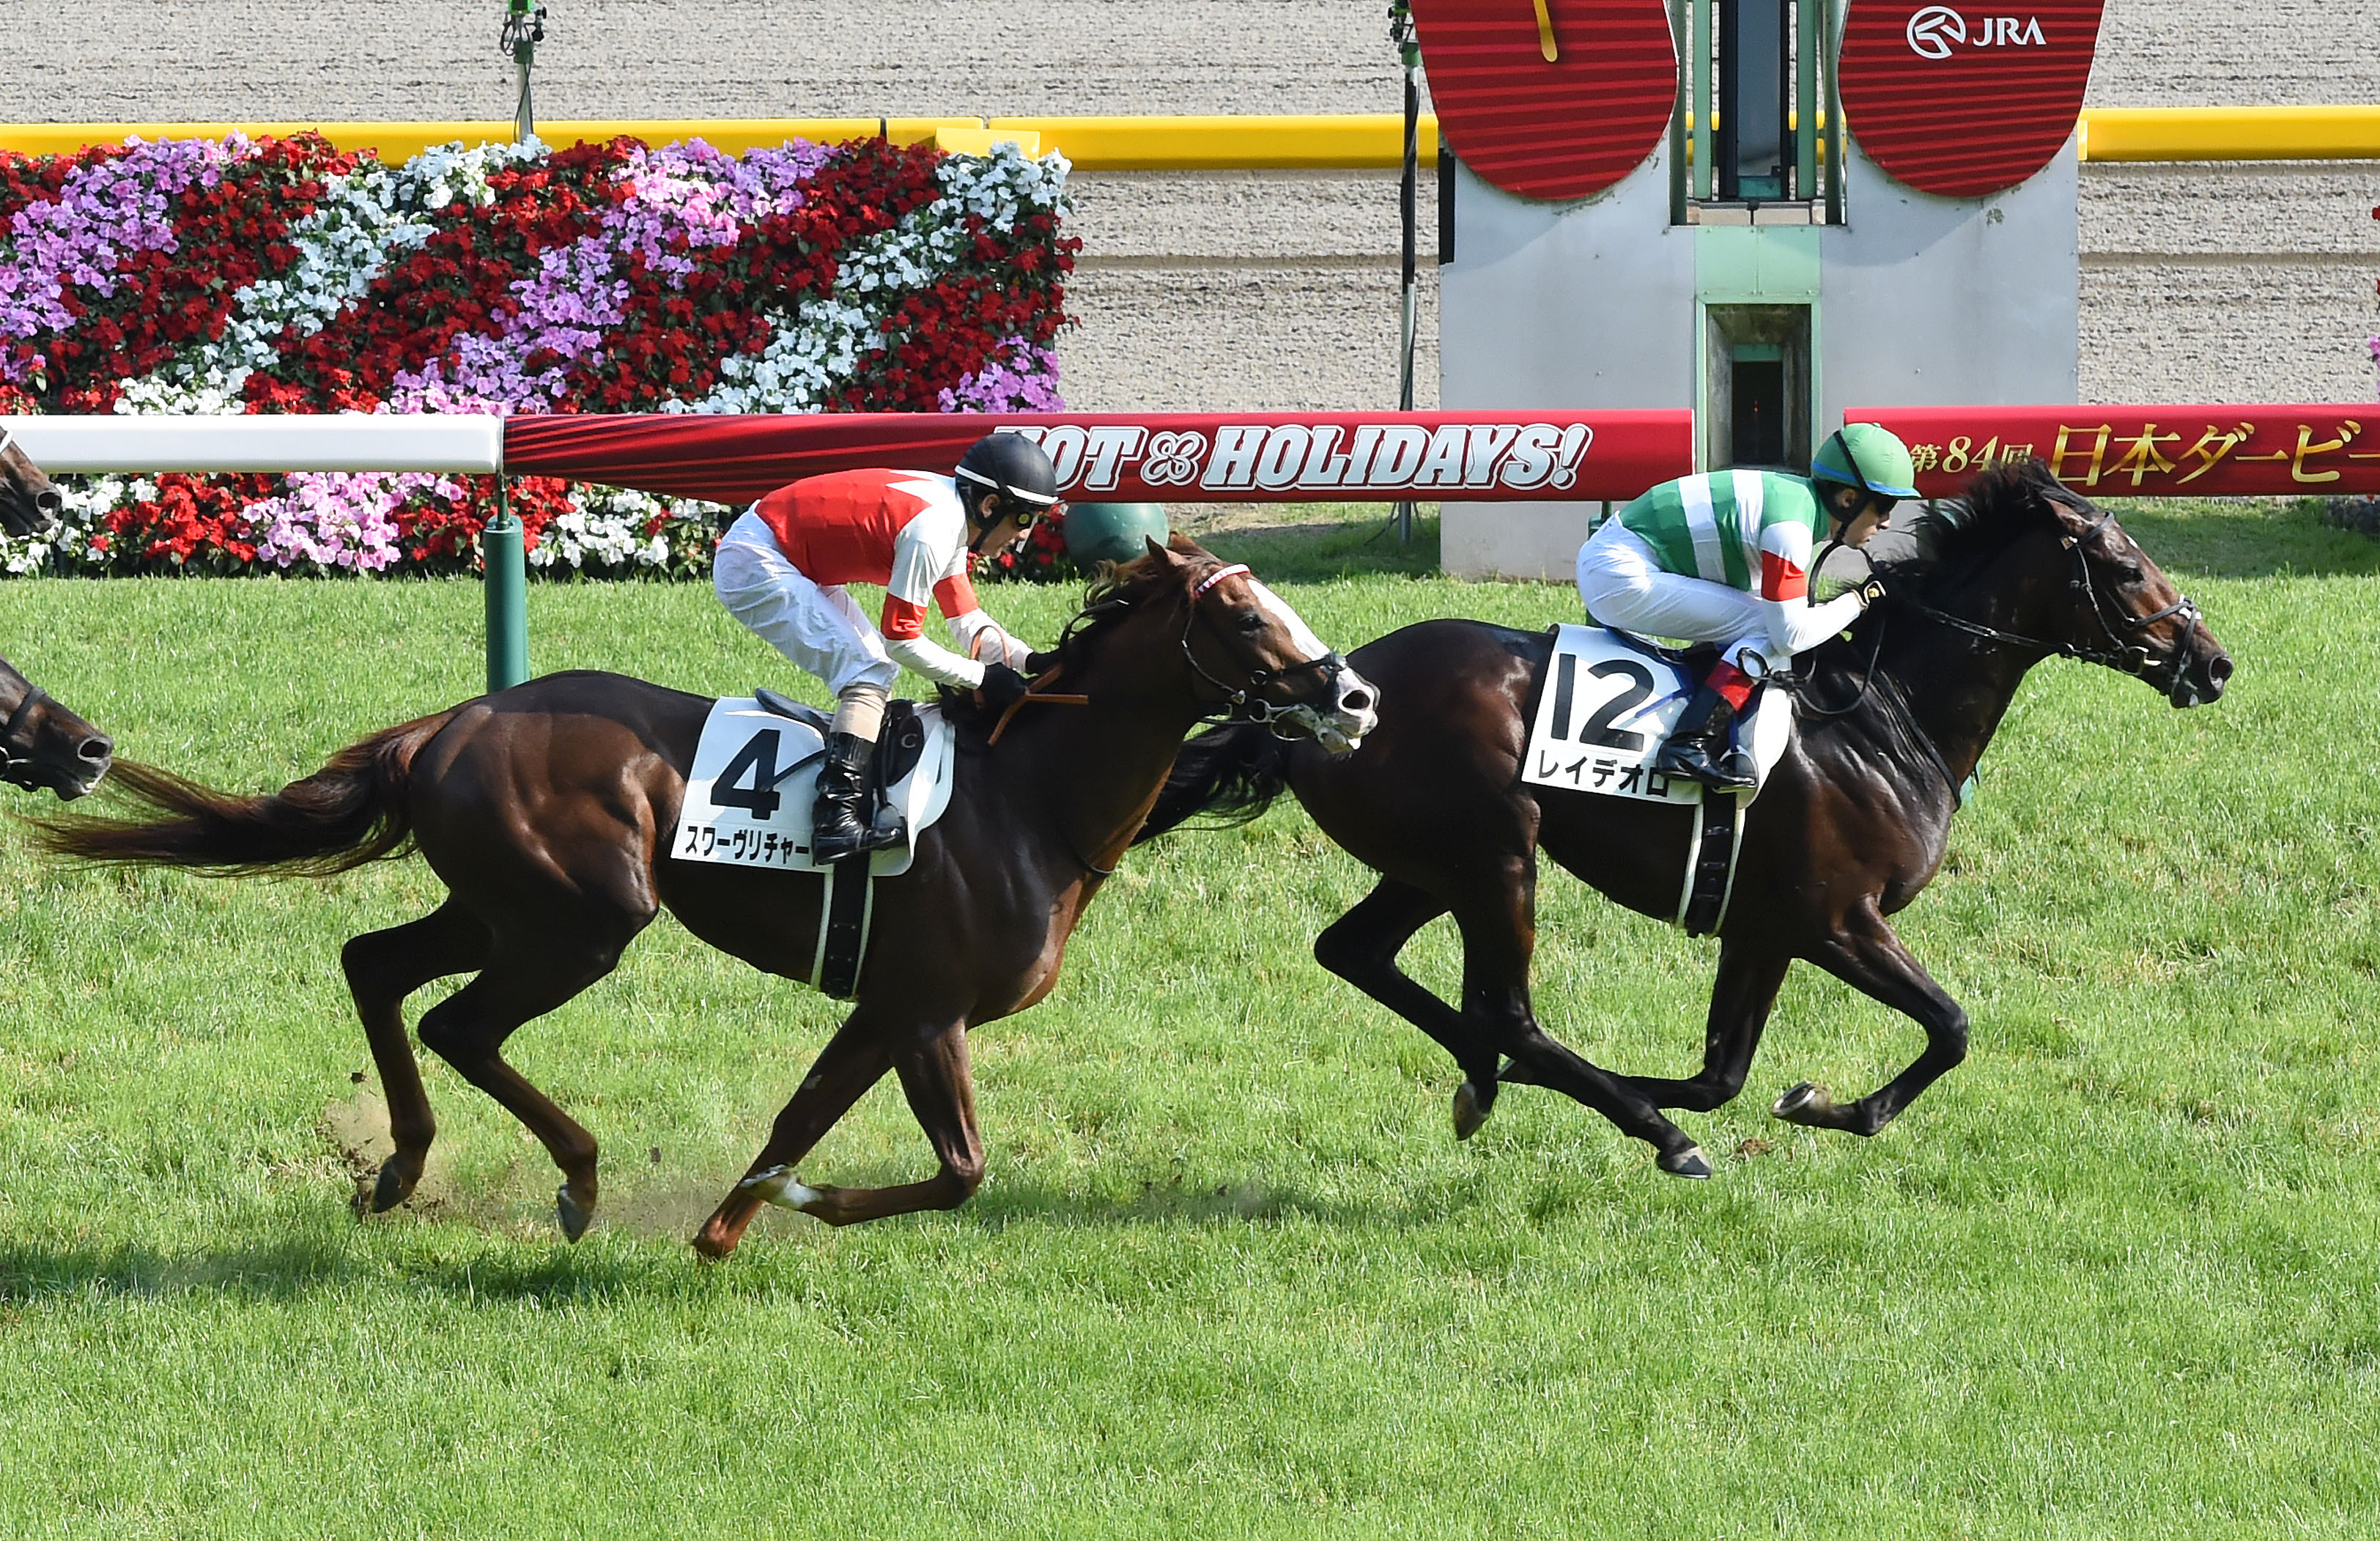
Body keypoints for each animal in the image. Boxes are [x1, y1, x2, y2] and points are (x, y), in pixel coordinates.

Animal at [35, 537, 1377, 1254]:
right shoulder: (929, 1009)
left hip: (498, 904)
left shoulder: (884, 1007)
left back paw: (402, 1168)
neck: (1028, 800)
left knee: (374, 962)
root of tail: (450, 723)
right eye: (1242, 612)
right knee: (458, 1021)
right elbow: (958, 1168)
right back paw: (575, 1177)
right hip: (580, 919)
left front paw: (730, 1223)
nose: (1353, 694)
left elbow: (800, 1118)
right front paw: (790, 1206)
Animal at [1134, 460, 2233, 1176]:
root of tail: (1320, 702)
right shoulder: (1838, 921)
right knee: (1506, 1009)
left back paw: (1488, 1080)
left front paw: (1743, 1095)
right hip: (1497, 855)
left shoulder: (1765, 926)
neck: (1884, 717)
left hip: (1428, 861)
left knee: (1359, 954)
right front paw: (1825, 1106)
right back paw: (1633, 1127)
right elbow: (1952, 1028)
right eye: (2125, 567)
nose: (2213, 661)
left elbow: (1721, 1073)